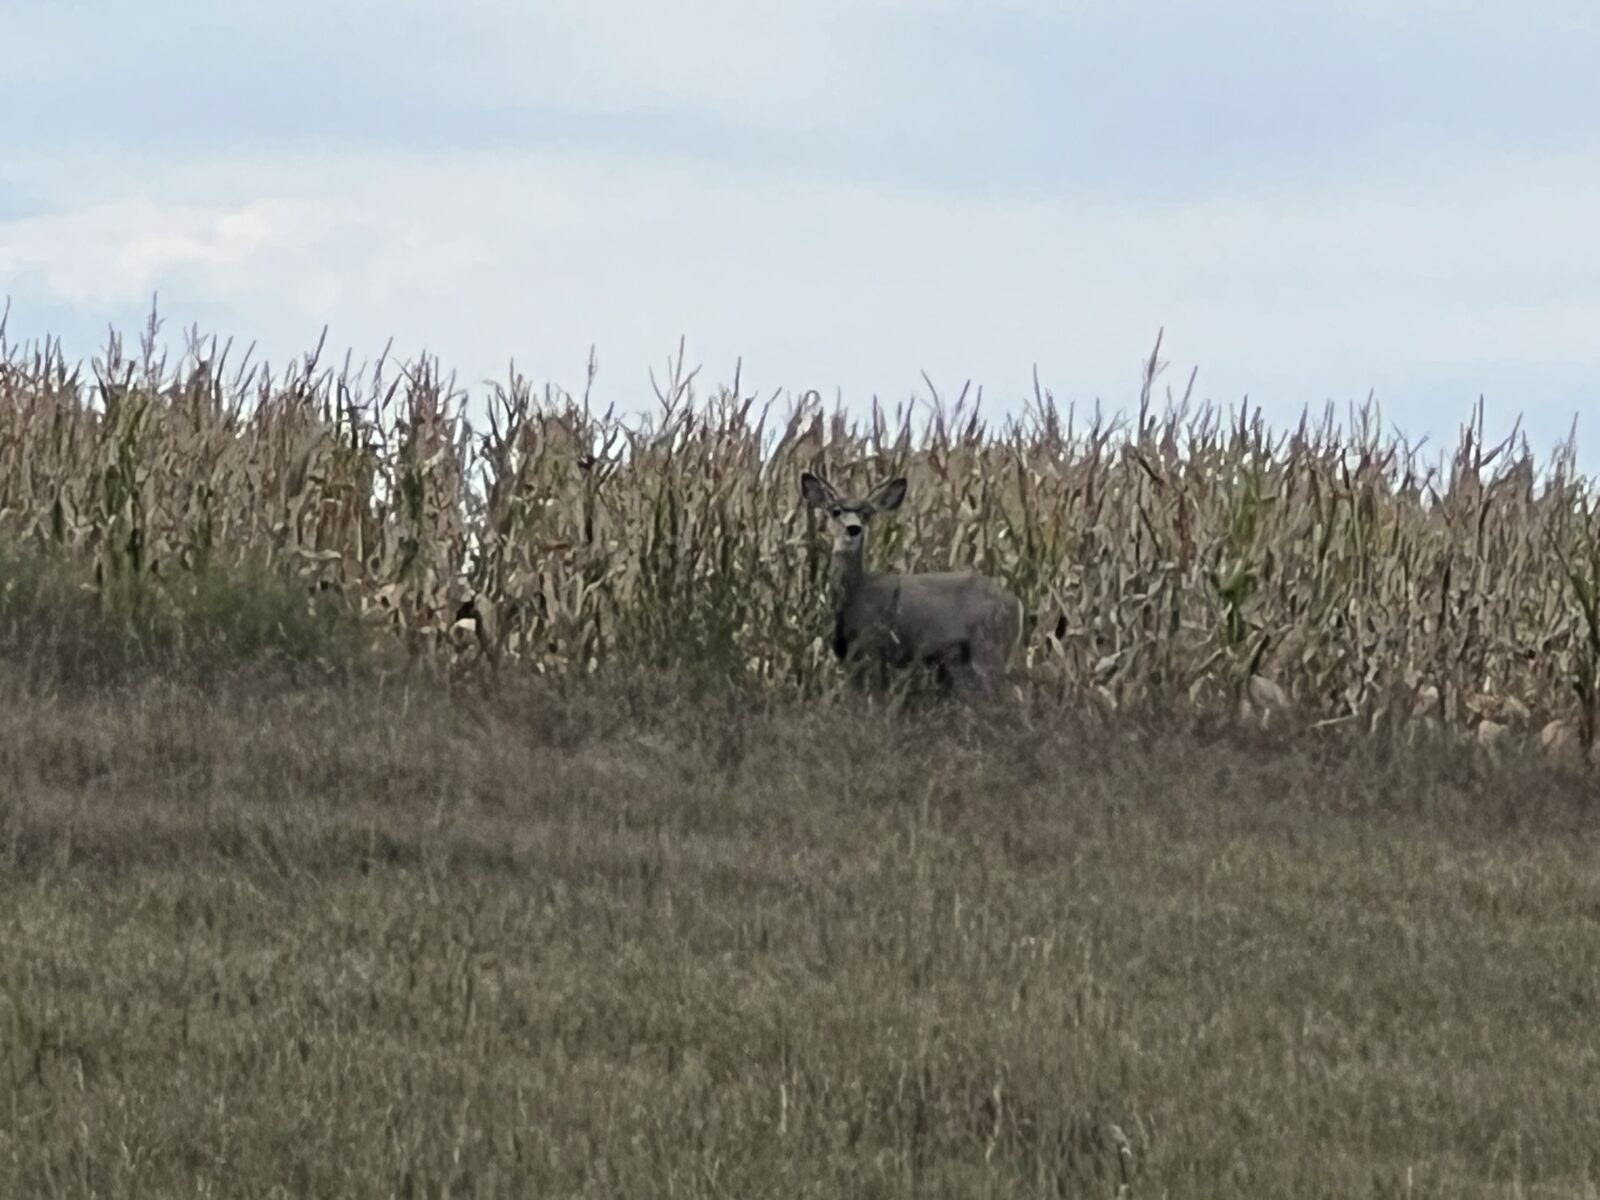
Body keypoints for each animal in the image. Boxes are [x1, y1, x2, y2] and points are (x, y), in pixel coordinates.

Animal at [800, 470, 1025, 703]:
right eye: (835, 511)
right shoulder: (848, 656)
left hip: (989, 647)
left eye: (867, 513)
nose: (853, 529)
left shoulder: (874, 646)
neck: (856, 595)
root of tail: (1016, 603)